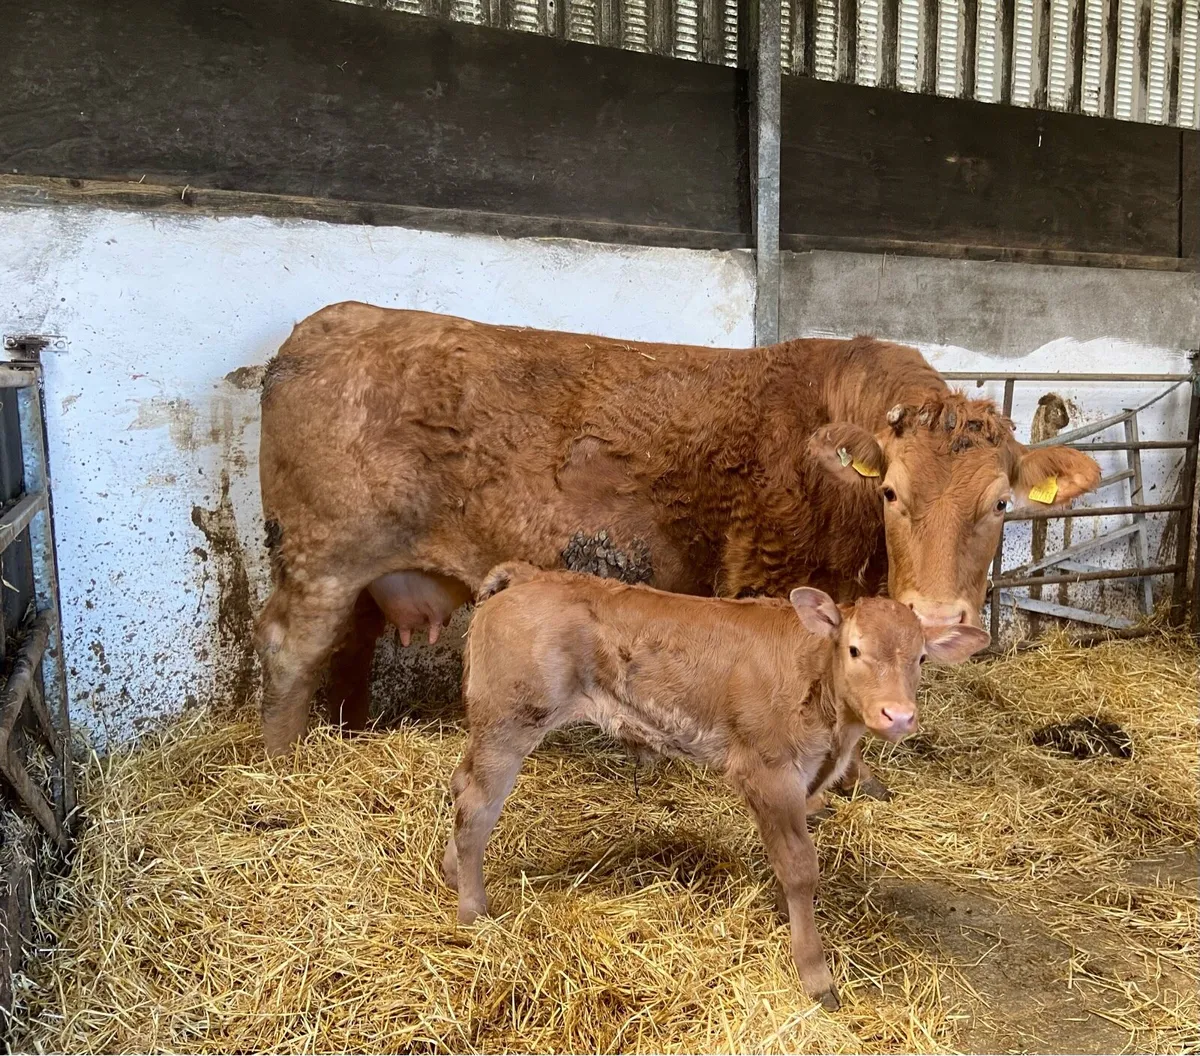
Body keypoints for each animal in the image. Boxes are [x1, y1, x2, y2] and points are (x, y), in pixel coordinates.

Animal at [255, 303, 1099, 757]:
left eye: (1001, 505)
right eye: (890, 492)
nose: (936, 616)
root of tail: (325, 326)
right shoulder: (768, 581)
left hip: (365, 572)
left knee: (349, 648)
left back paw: (350, 738)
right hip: (321, 556)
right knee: (292, 647)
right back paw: (284, 763)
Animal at [441, 562, 991, 1010]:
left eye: (921, 659)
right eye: (854, 649)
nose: (898, 715)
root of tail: (529, 575)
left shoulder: (805, 781)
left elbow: (789, 864)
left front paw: (784, 917)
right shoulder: (769, 773)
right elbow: (800, 868)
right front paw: (814, 973)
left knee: (460, 785)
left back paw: (450, 873)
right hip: (510, 721)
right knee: (477, 805)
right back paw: (473, 911)